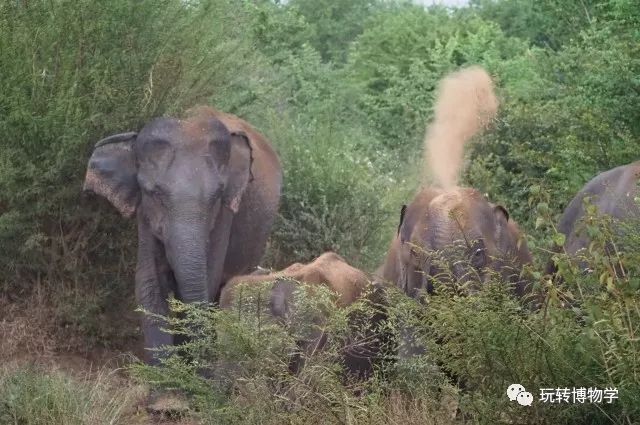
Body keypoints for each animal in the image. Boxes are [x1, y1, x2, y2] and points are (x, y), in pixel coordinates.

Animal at [83, 105, 282, 362]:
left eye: (217, 195)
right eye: (154, 193)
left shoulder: (224, 217)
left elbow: (207, 281)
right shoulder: (145, 218)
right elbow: (149, 285)